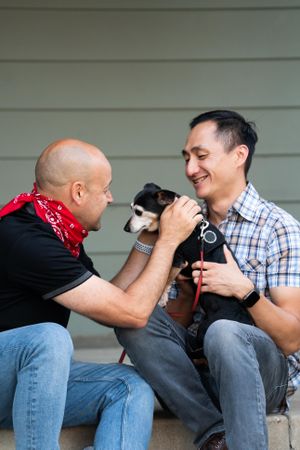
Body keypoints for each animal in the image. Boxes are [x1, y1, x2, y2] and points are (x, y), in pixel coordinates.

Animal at [124, 183, 253, 356]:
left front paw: (162, 298)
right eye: (131, 208)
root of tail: (243, 320)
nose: (125, 228)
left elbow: (166, 279)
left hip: (205, 330)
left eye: (138, 212)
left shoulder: (178, 259)